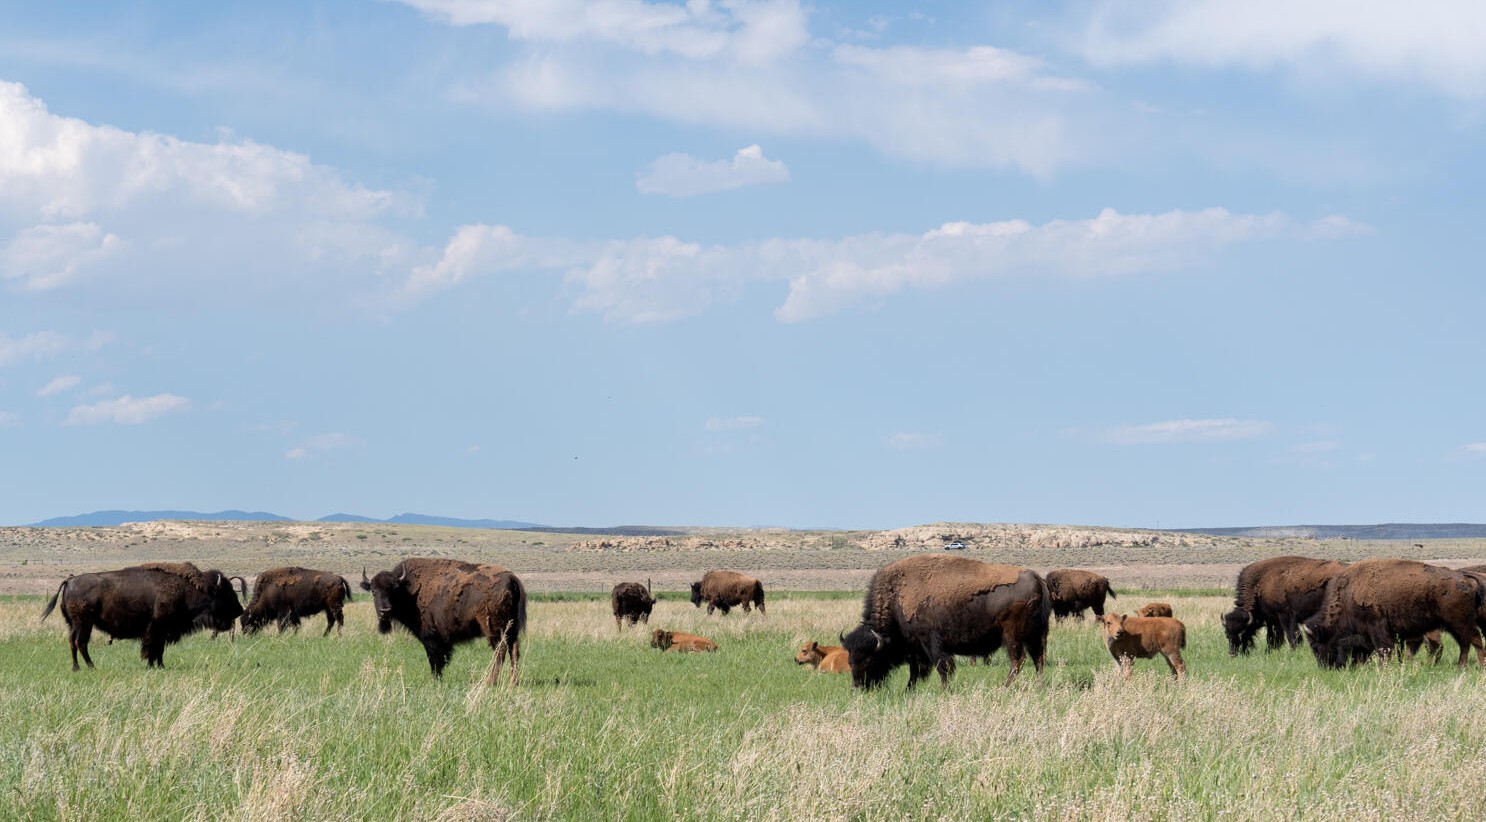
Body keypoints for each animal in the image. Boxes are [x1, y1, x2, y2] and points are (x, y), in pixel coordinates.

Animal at [39, 561, 246, 668]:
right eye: (226, 593)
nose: (240, 610)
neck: (189, 589)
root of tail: (70, 580)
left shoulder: (161, 631)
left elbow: (158, 649)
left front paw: (158, 666)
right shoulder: (158, 628)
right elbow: (154, 648)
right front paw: (155, 665)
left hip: (74, 624)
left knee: (73, 642)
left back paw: (77, 668)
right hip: (84, 624)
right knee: (80, 643)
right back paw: (91, 666)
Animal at [356, 555, 526, 683]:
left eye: (394, 589)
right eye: (373, 591)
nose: (385, 610)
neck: (409, 590)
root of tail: (511, 578)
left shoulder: (430, 638)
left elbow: (435, 660)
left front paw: (435, 680)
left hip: (494, 629)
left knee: (500, 651)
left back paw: (490, 682)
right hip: (512, 627)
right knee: (514, 650)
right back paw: (513, 682)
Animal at [844, 555, 1052, 689]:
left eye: (869, 659)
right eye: (850, 660)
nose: (857, 688)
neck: (896, 597)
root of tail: (1036, 577)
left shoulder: (931, 643)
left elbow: (941, 667)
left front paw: (945, 690)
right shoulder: (917, 649)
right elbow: (916, 672)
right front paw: (908, 691)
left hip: (1012, 636)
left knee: (1019, 660)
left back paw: (1004, 687)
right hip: (1037, 635)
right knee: (1038, 659)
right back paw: (1038, 687)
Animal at [1218, 549, 1349, 654]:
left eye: (1242, 631)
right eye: (1226, 633)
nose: (1232, 653)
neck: (1259, 584)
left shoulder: (1285, 615)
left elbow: (1292, 635)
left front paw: (1292, 652)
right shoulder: (1271, 619)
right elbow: (1272, 637)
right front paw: (1269, 651)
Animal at [1301, 558, 1486, 665]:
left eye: (1316, 646)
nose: (1325, 666)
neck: (1347, 595)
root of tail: (1465, 578)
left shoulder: (1378, 630)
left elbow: (1384, 650)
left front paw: (1385, 668)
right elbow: (1398, 651)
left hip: (1460, 622)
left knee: (1475, 640)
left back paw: (1480, 665)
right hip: (1453, 625)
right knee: (1464, 643)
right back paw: (1460, 666)